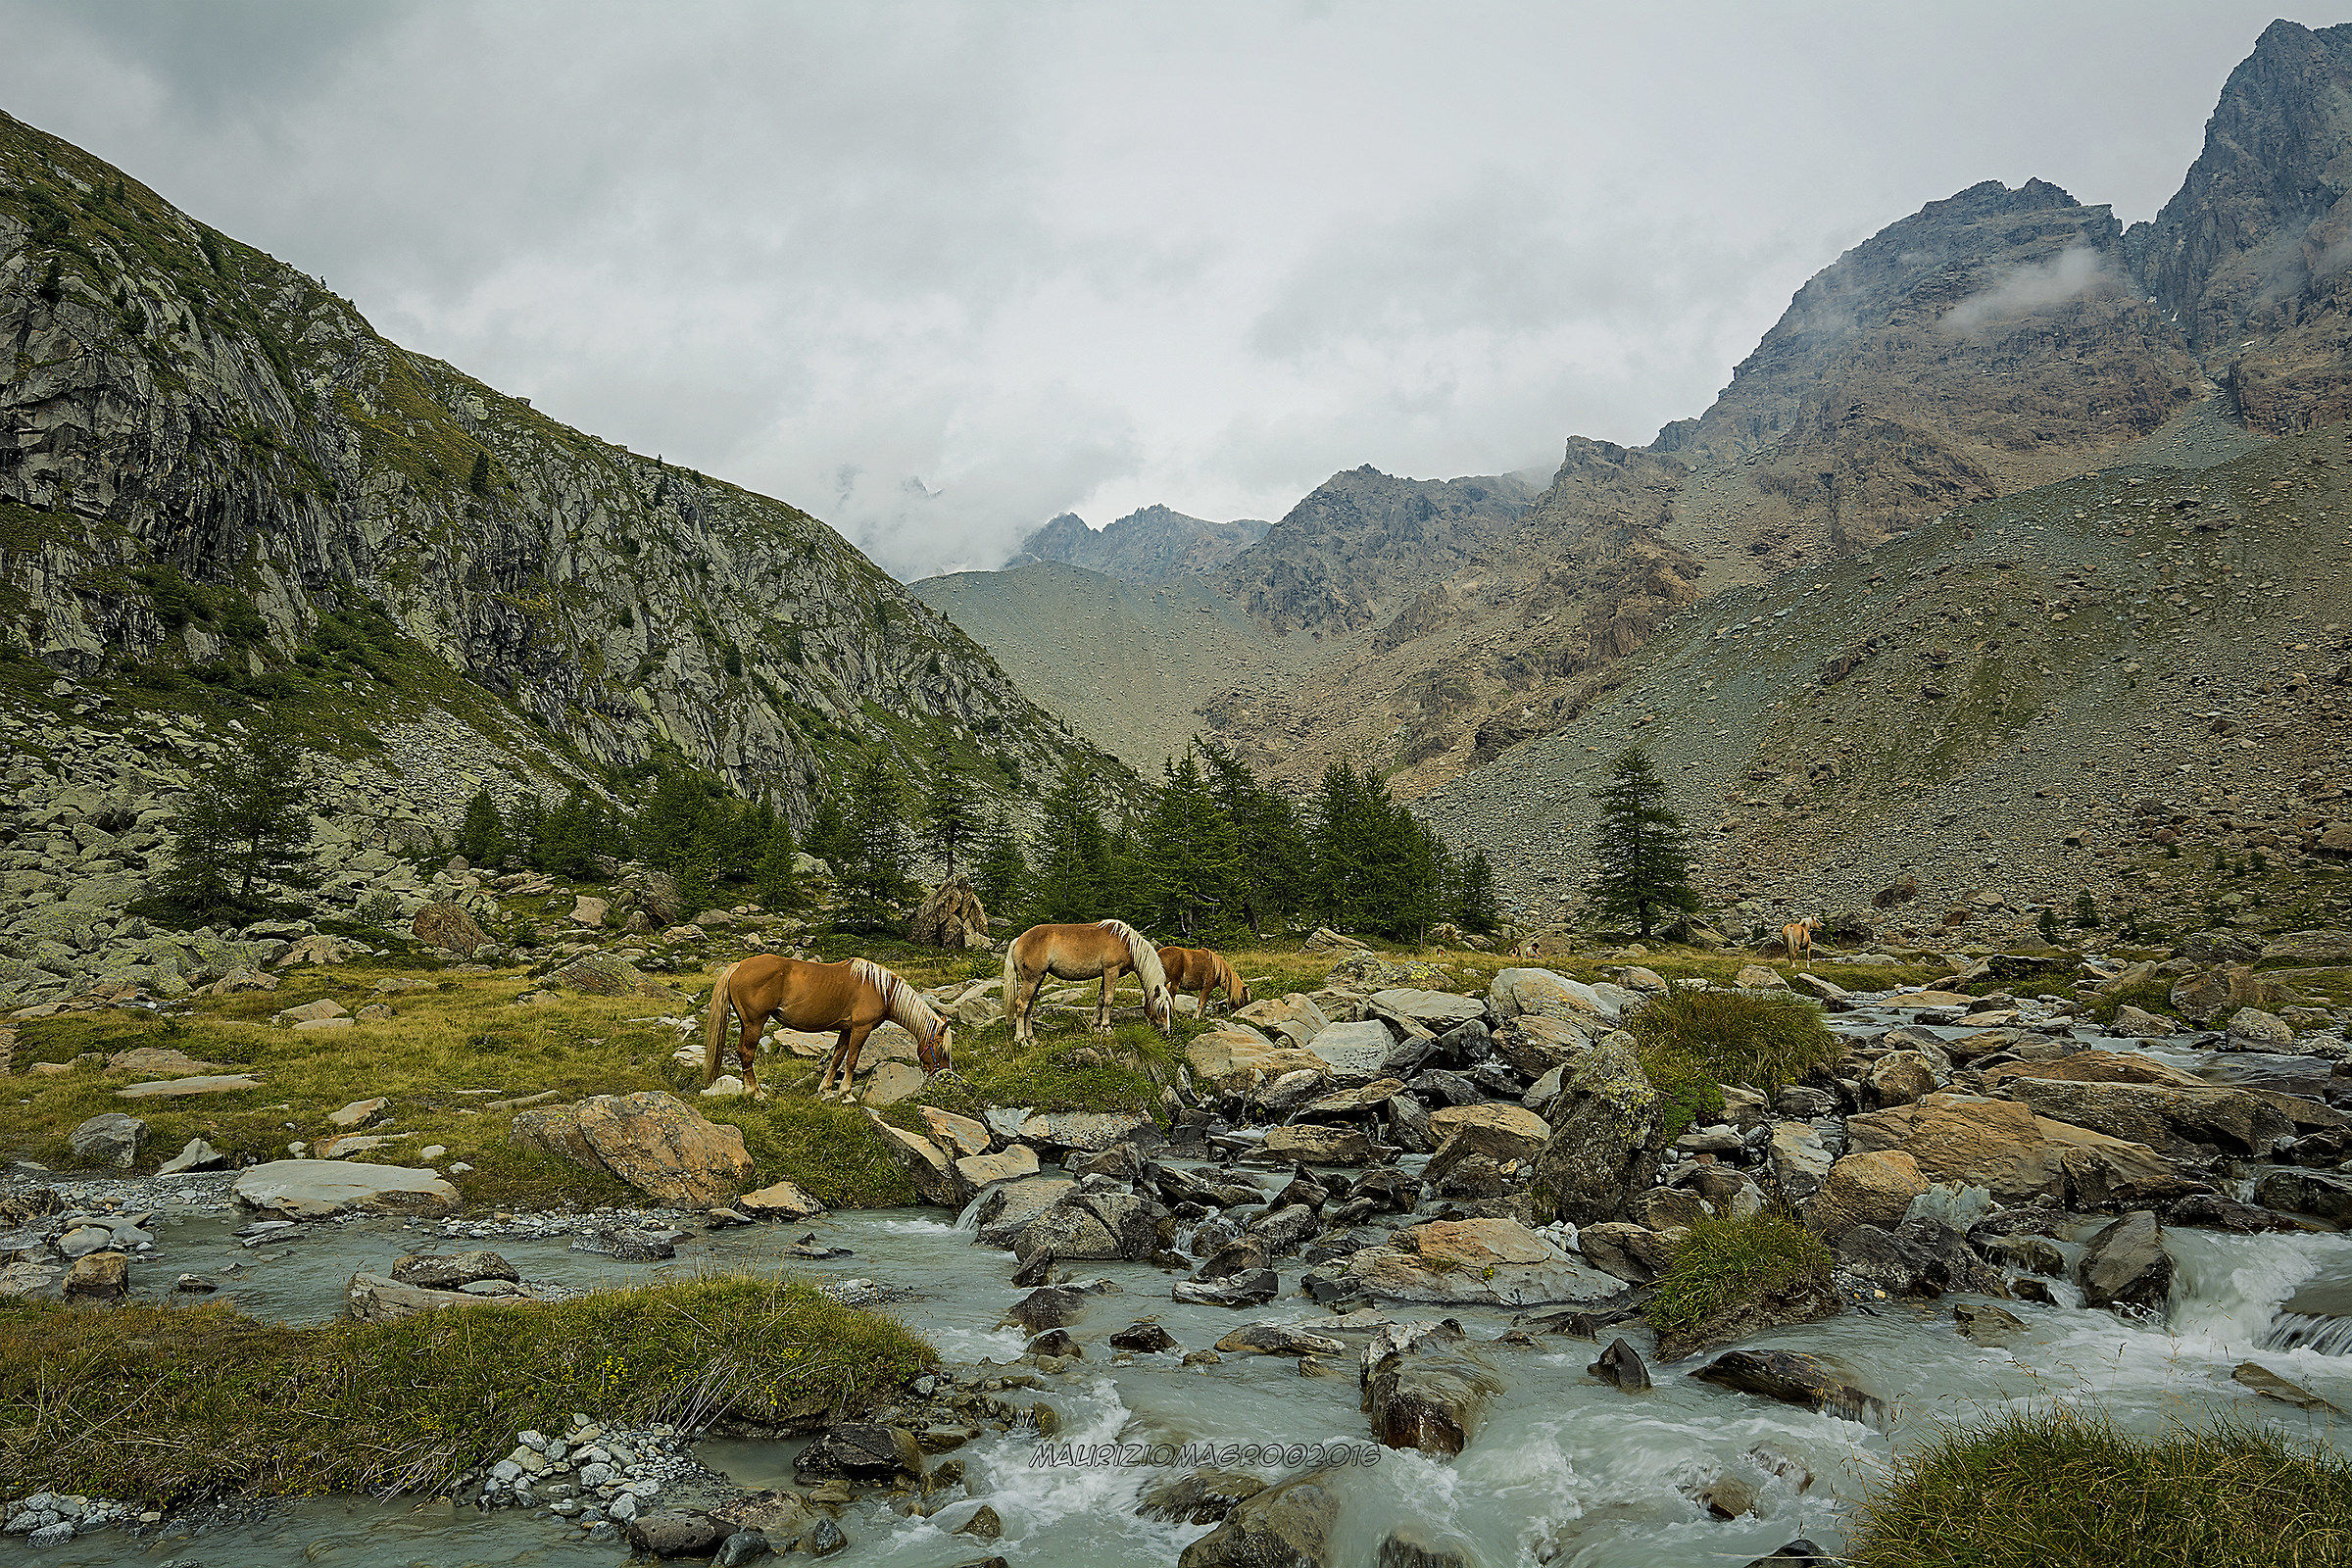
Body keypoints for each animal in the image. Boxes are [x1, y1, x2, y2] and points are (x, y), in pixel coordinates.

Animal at [703, 954, 952, 1101]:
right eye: (941, 1049)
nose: (944, 1074)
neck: (882, 990)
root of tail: (738, 966)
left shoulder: (847, 1029)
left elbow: (838, 1057)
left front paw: (826, 1087)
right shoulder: (861, 1029)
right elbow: (852, 1060)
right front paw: (846, 1093)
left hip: (747, 1023)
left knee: (741, 1052)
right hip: (755, 1023)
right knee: (747, 1053)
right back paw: (756, 1092)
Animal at [1003, 919, 1174, 1046]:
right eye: (1161, 1009)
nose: (1166, 1031)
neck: (1125, 943)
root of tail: (1018, 940)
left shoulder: (1106, 974)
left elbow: (1101, 999)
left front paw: (1096, 1026)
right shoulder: (1111, 971)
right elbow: (1109, 1000)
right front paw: (1107, 1028)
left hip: (1037, 980)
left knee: (1029, 1007)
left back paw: (1032, 1039)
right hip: (1031, 981)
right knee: (1021, 1005)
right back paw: (1022, 1040)